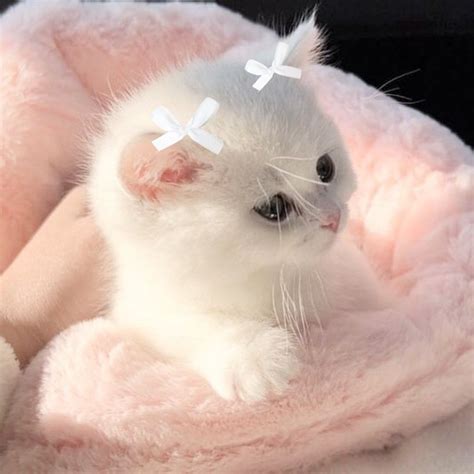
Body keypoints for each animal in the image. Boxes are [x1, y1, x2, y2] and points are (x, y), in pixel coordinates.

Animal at [88, 20, 382, 402]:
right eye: (273, 208)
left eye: (325, 168)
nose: (332, 218)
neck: (264, 277)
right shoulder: (141, 309)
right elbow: (192, 324)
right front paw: (256, 358)